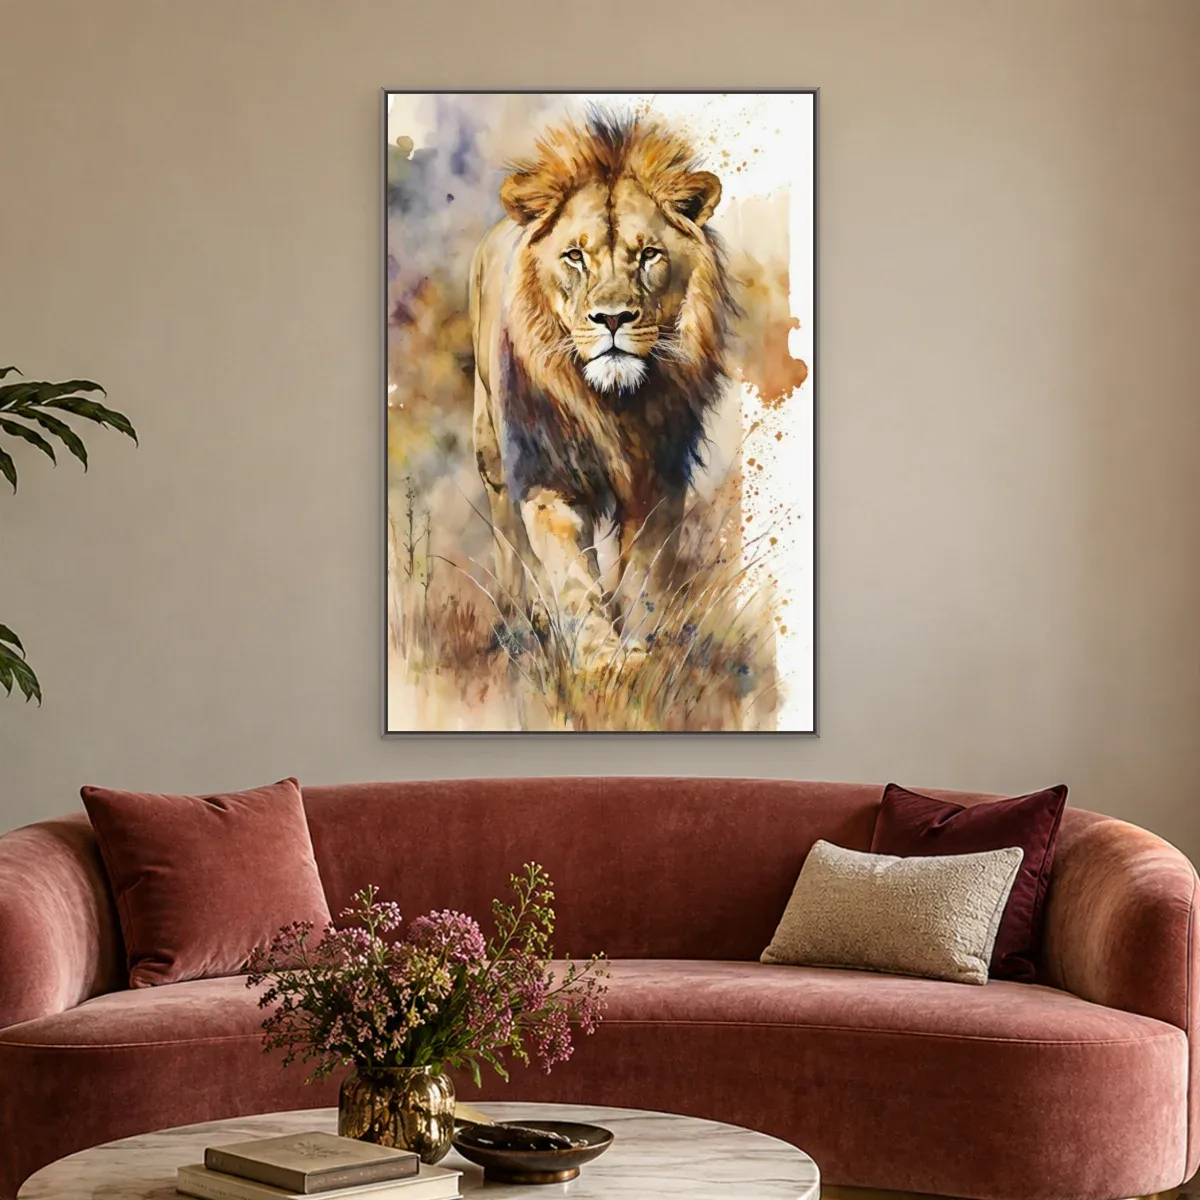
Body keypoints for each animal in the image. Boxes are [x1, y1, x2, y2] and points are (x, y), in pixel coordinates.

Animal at [470, 109, 735, 658]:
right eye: (575, 256)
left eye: (649, 254)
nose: (612, 318)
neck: (611, 404)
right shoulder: (547, 473)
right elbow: (571, 574)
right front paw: (600, 657)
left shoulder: (660, 474)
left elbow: (645, 571)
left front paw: (644, 644)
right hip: (490, 454)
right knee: (509, 543)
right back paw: (520, 621)